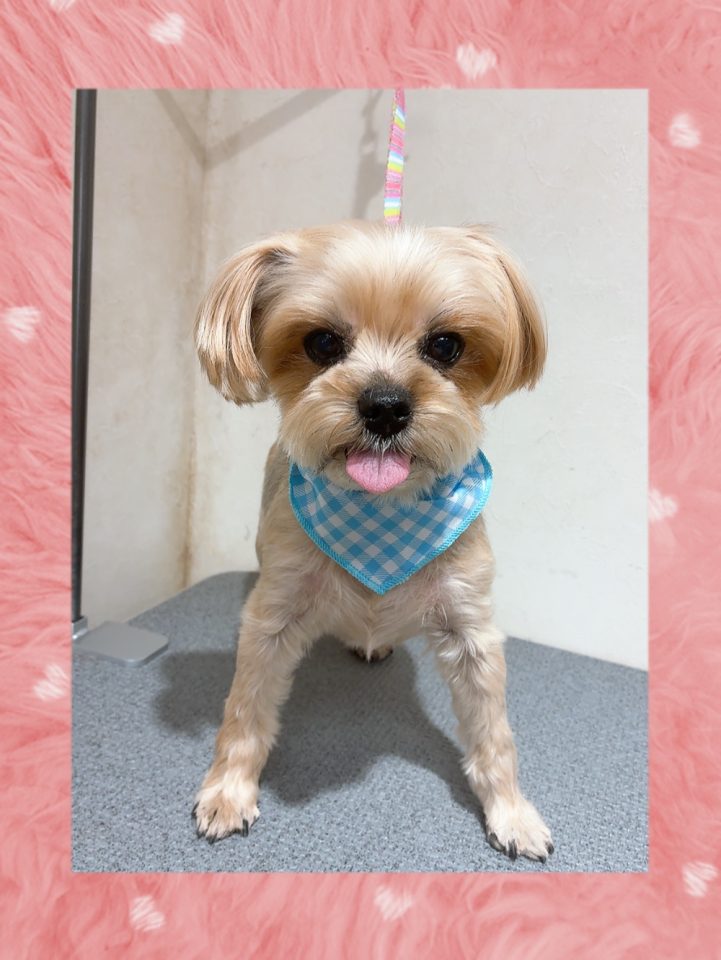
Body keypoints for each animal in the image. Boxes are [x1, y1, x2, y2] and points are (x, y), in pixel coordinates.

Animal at [192, 219, 553, 862]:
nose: (385, 406)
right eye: (322, 343)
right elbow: (246, 710)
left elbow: (493, 734)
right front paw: (229, 791)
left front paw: (512, 813)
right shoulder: (274, 614)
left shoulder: (470, 626)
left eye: (446, 346)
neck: (380, 513)